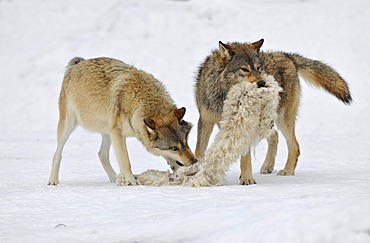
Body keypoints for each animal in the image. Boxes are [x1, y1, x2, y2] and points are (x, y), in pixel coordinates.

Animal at [48, 57, 198, 186]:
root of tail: (77, 63)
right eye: (174, 148)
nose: (194, 161)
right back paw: (53, 180)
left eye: (186, 142)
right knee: (57, 154)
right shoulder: (118, 133)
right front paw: (131, 181)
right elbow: (126, 161)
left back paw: (114, 178)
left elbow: (168, 157)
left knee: (102, 155)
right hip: (69, 125)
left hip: (107, 132)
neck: (139, 100)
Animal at [195, 39, 352, 185]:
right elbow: (199, 151)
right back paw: (267, 167)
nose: (262, 83)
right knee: (275, 135)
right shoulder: (205, 121)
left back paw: (287, 170)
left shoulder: (243, 123)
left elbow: (246, 156)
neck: (224, 94)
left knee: (294, 145)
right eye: (244, 69)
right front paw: (195, 172)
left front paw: (247, 179)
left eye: (258, 68)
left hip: (283, 120)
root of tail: (288, 56)